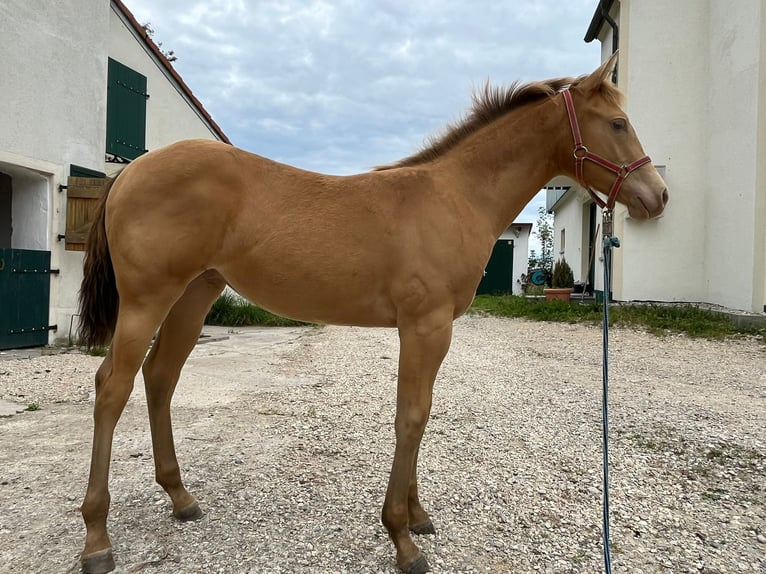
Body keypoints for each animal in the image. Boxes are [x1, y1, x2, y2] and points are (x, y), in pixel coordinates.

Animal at [77, 53, 667, 574]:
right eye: (617, 123)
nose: (658, 196)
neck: (454, 197)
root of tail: (130, 172)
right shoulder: (424, 327)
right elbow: (411, 417)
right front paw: (402, 538)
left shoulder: (432, 331)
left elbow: (420, 414)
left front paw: (418, 515)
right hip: (148, 300)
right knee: (112, 388)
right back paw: (97, 539)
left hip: (194, 296)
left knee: (160, 378)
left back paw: (181, 498)